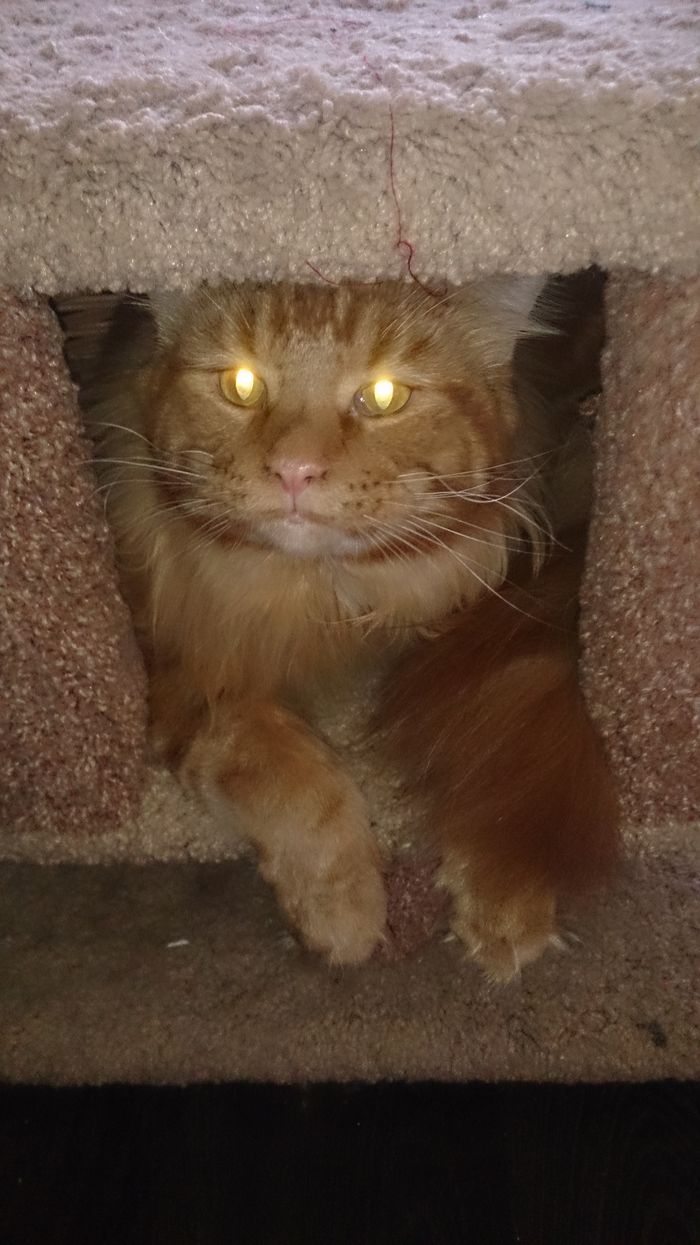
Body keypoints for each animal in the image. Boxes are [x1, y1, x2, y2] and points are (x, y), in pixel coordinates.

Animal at [58, 272, 618, 980]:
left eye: (383, 396)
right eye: (241, 384)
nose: (294, 470)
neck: (319, 601)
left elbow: (507, 747)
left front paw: (504, 889)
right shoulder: (182, 664)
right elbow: (292, 780)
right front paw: (344, 914)